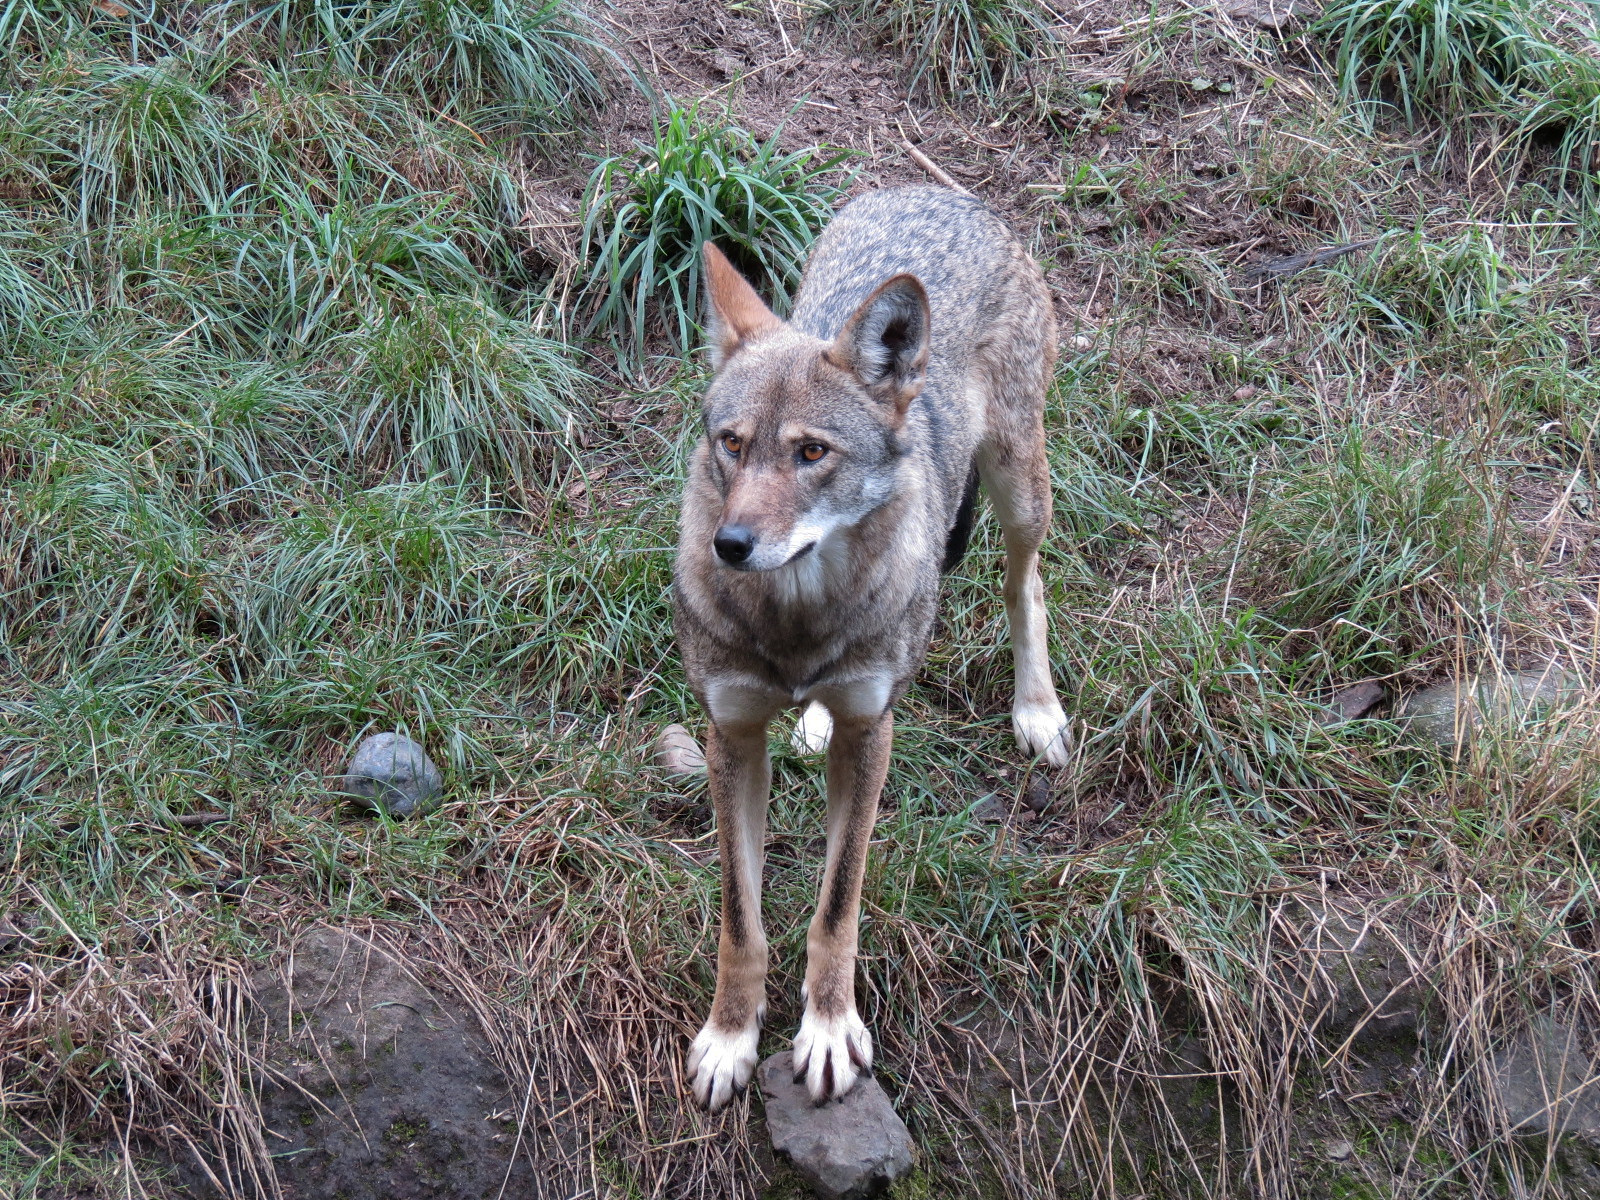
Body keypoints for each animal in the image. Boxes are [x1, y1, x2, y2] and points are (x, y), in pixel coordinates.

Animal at [674, 185, 1071, 1111]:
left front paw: (826, 1032)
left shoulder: (874, 735)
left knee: (1026, 586)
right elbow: (741, 919)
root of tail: (938, 193)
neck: (797, 625)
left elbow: (836, 904)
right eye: (732, 443)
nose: (731, 545)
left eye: (811, 453)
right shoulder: (730, 736)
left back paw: (1037, 709)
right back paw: (812, 723)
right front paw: (730, 1038)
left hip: (1019, 486)